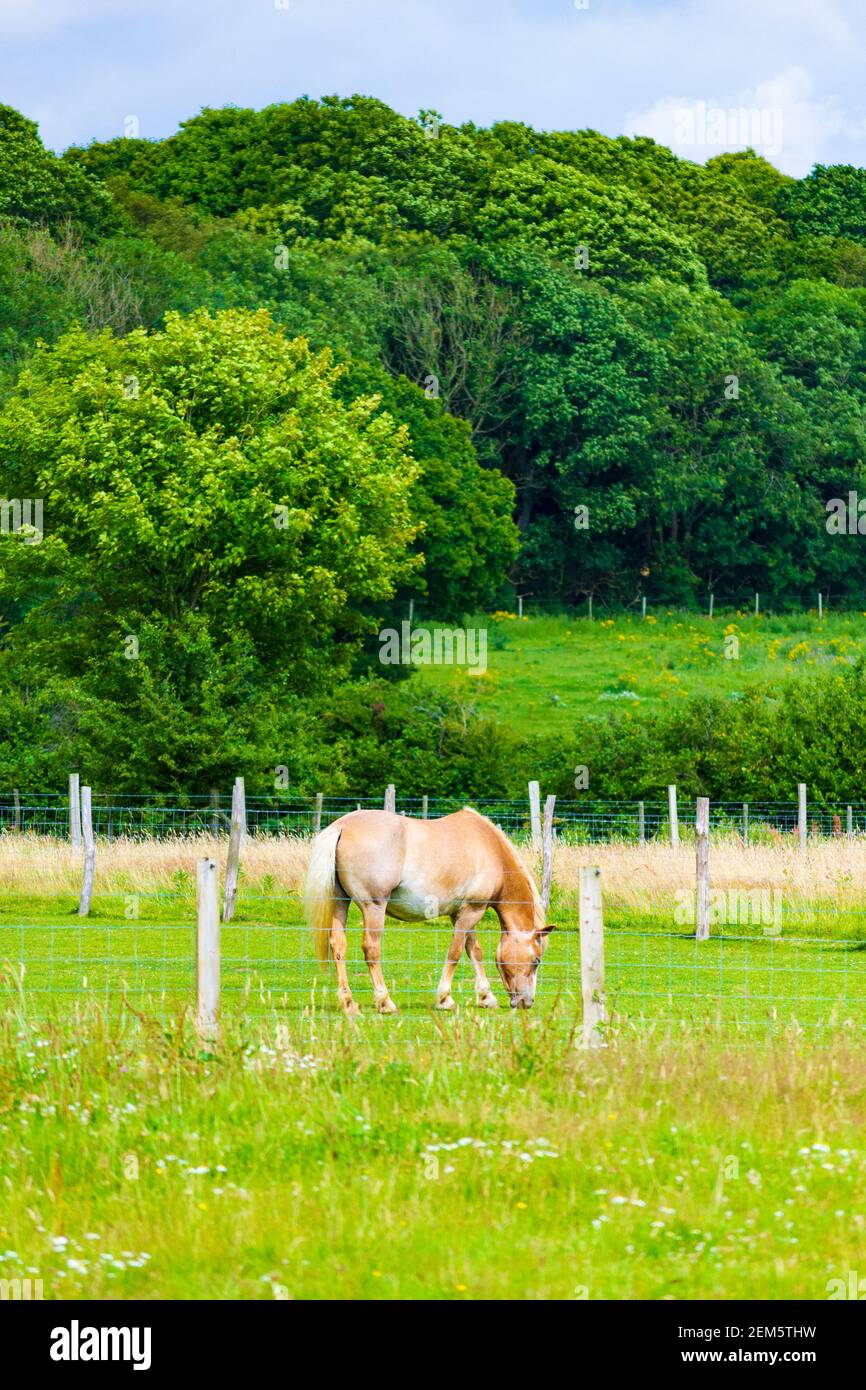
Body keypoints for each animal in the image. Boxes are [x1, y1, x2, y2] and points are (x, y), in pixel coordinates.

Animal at [304, 807, 555, 1015]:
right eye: (536, 961)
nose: (526, 1002)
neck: (490, 849)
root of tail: (342, 826)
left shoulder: (462, 913)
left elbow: (474, 951)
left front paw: (486, 997)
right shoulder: (472, 911)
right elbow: (455, 953)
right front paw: (444, 999)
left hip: (340, 902)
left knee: (339, 946)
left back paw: (349, 1003)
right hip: (374, 907)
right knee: (371, 949)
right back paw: (385, 1002)